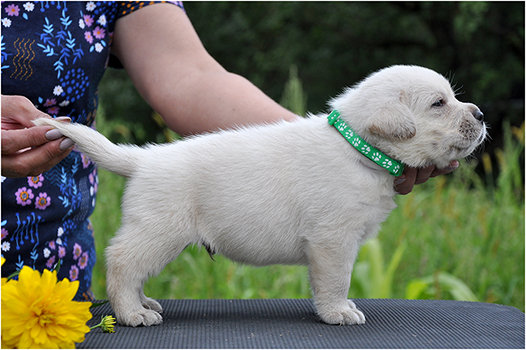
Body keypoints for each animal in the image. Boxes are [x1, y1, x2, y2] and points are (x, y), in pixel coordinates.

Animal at [35, 64, 488, 326]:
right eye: (439, 103)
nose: (481, 114)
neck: (358, 148)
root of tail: (143, 160)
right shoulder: (333, 240)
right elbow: (335, 281)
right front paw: (338, 312)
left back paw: (145, 304)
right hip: (160, 231)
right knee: (122, 263)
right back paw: (131, 314)